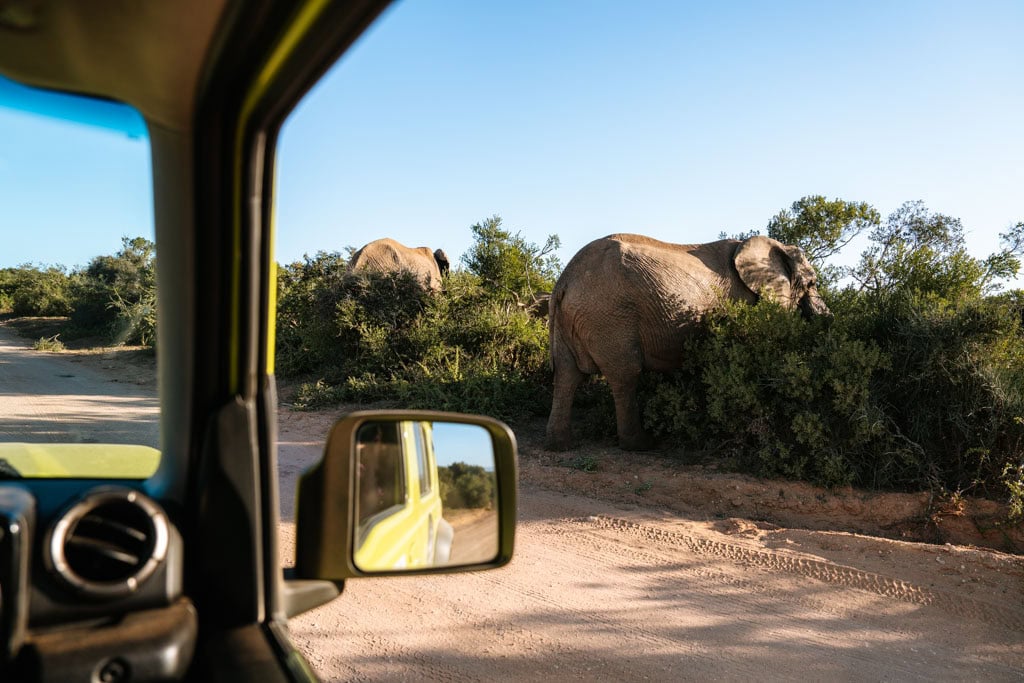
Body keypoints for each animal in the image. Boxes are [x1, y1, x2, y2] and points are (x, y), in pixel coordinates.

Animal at [545, 233, 830, 451]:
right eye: (812, 283)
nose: (828, 318)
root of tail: (564, 281)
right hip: (609, 316)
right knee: (626, 375)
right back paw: (643, 444)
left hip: (571, 319)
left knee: (566, 375)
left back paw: (561, 445)